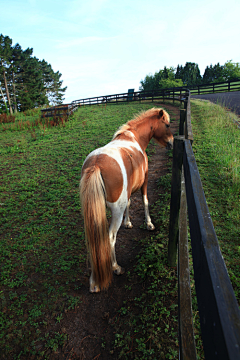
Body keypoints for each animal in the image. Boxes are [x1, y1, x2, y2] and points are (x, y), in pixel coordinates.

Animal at [79, 107, 173, 292]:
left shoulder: (127, 193)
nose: (172, 143)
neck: (134, 137)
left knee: (94, 241)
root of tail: (96, 164)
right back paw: (115, 267)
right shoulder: (145, 181)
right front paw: (149, 224)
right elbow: (145, 201)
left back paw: (94, 282)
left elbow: (129, 202)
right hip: (116, 211)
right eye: (166, 124)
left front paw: (128, 222)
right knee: (109, 238)